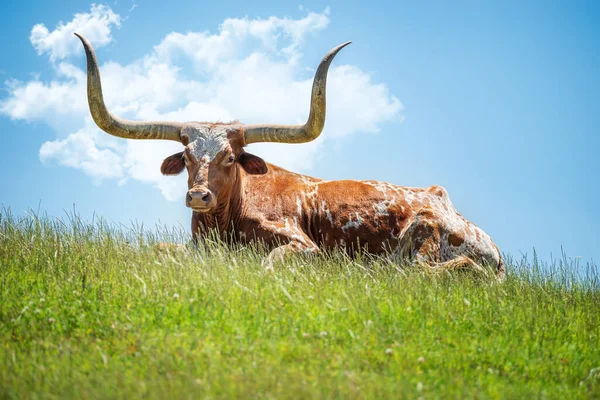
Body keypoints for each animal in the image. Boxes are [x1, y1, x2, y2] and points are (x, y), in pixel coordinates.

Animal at [76, 33, 506, 278]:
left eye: (230, 157)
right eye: (186, 155)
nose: (199, 196)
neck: (226, 220)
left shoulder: (304, 246)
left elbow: (270, 263)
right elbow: (159, 250)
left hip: (425, 231)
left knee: (433, 270)